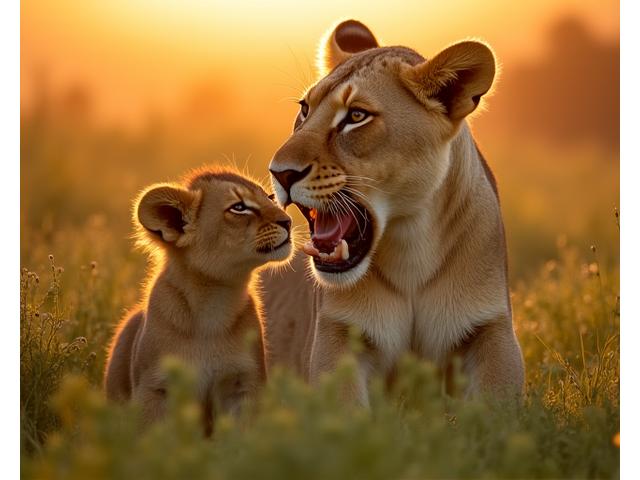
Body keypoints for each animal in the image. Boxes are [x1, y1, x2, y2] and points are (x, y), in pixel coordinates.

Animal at [104, 167, 293, 434]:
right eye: (239, 207)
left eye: (270, 197)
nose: (288, 221)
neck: (214, 300)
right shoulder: (156, 389)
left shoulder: (243, 384)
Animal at [262, 19, 524, 405]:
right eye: (305, 109)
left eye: (356, 116)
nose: (280, 173)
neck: (410, 243)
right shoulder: (336, 332)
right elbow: (342, 407)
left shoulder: (492, 328)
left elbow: (497, 404)